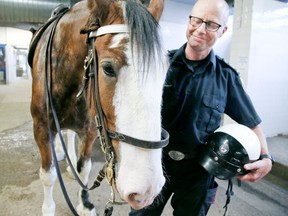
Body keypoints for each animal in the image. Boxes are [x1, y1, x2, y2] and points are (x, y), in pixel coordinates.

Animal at [28, 0, 168, 215]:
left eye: (165, 70)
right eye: (108, 68)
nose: (146, 191)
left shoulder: (90, 130)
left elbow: (84, 170)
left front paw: (85, 204)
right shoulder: (41, 128)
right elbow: (48, 175)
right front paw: (48, 208)